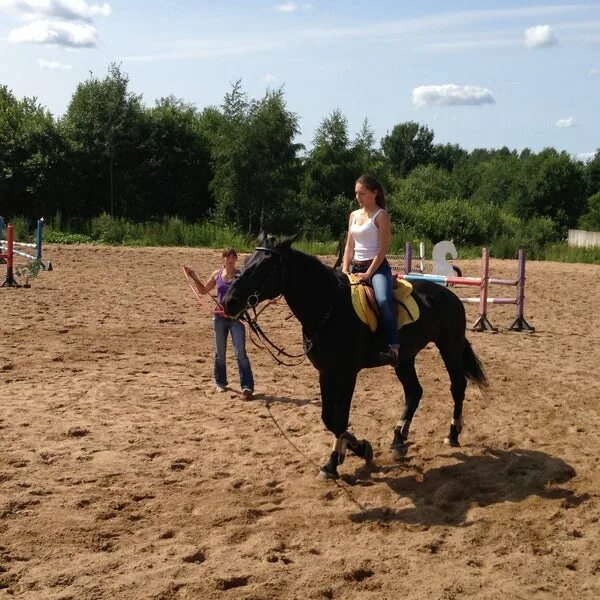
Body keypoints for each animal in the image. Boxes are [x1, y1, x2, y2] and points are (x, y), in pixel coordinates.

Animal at [223, 234, 490, 478]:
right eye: (246, 261)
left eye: (264, 267)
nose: (229, 301)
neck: (328, 308)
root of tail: (450, 296)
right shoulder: (325, 371)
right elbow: (328, 417)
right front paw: (356, 448)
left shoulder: (347, 373)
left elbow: (340, 417)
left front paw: (334, 462)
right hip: (404, 358)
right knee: (414, 392)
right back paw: (398, 439)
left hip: (450, 348)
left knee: (457, 386)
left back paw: (452, 434)